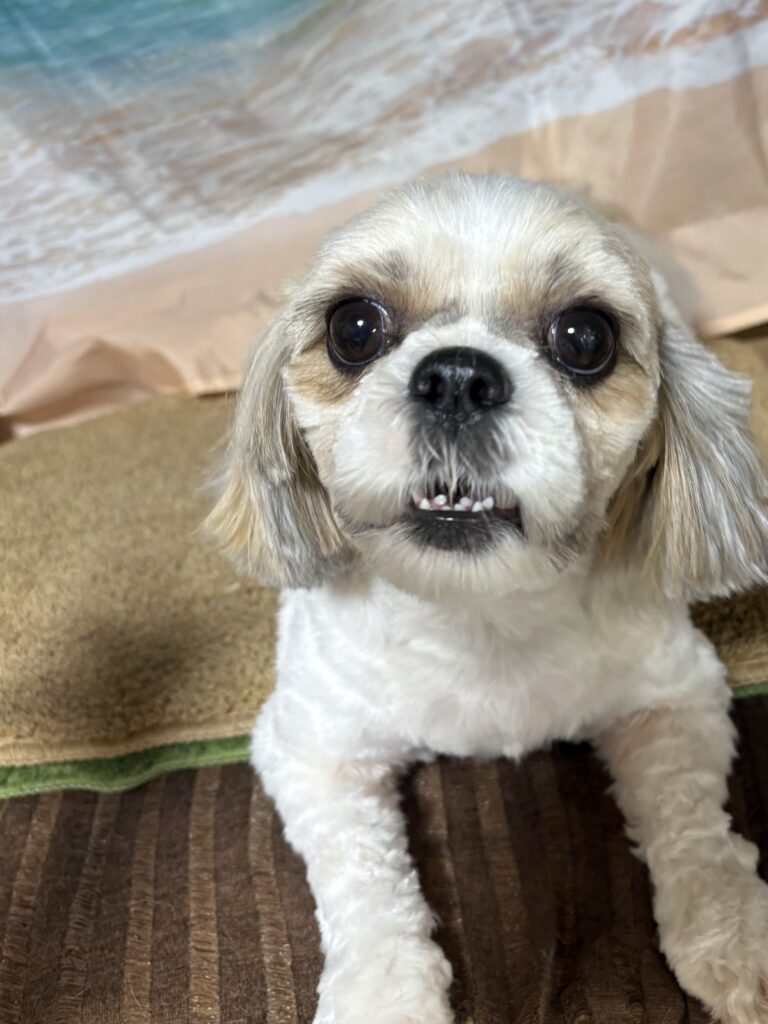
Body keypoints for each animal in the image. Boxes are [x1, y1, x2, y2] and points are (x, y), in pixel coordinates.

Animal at [208, 172, 768, 1024]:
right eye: (355, 327)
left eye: (585, 337)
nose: (457, 378)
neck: (480, 616)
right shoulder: (312, 745)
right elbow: (363, 876)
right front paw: (383, 993)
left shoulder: (674, 697)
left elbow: (689, 819)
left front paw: (731, 929)